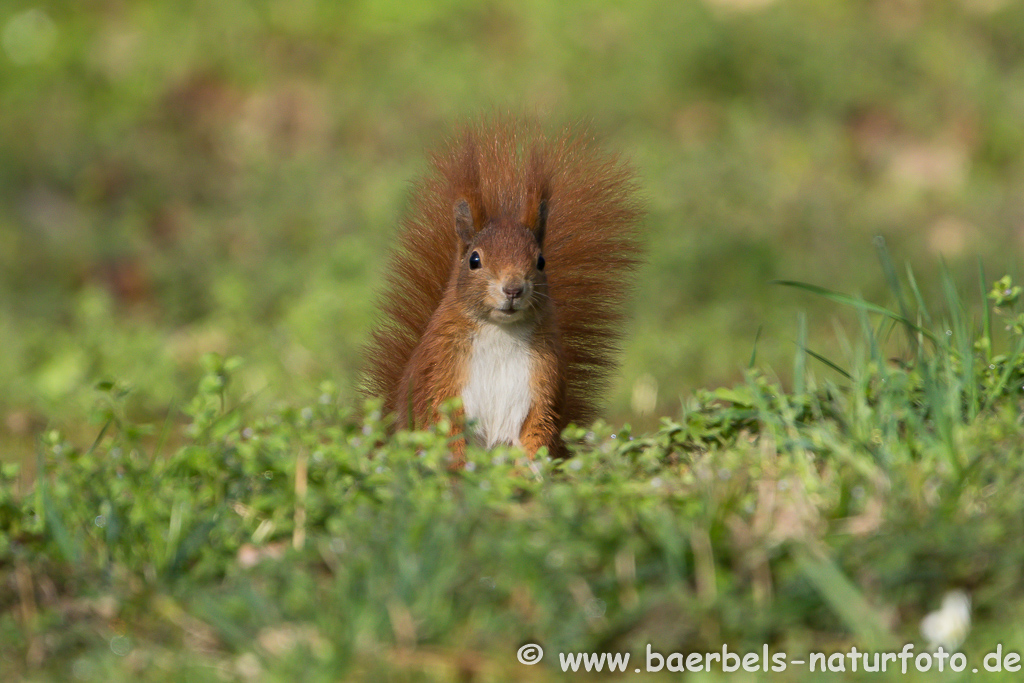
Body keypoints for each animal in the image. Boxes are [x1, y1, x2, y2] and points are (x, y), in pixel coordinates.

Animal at [364, 117, 643, 462]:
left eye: (541, 261)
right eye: (474, 259)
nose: (513, 289)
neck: (499, 332)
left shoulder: (544, 380)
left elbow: (539, 430)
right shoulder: (440, 372)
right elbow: (442, 427)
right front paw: (456, 468)